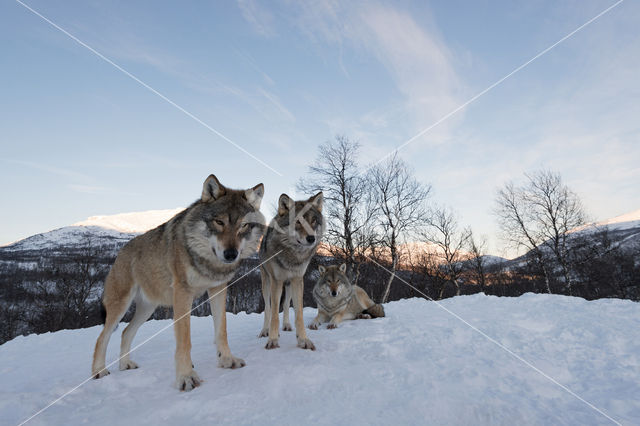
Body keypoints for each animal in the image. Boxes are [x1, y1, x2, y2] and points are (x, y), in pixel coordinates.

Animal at [90, 175, 264, 392]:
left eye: (244, 225)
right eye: (219, 222)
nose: (231, 254)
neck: (206, 259)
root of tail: (120, 251)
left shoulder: (218, 289)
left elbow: (221, 330)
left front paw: (227, 360)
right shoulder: (183, 293)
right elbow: (184, 340)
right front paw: (186, 377)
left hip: (147, 309)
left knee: (125, 332)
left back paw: (125, 365)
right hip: (120, 306)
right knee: (102, 338)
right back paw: (99, 371)